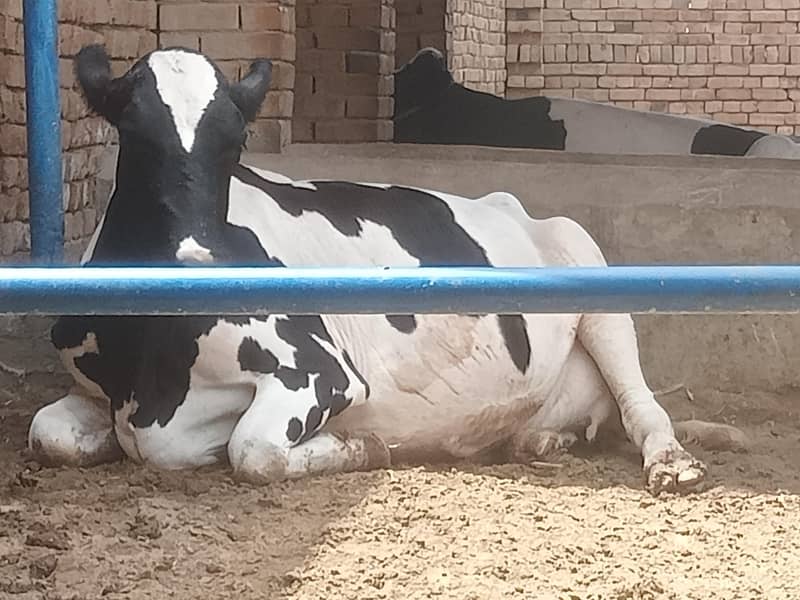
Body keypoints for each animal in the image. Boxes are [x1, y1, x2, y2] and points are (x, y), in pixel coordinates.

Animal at [27, 45, 747, 497]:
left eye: (236, 144)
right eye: (134, 135)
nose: (204, 262)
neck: (153, 369)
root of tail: (509, 202)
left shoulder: (319, 373)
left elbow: (252, 450)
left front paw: (365, 450)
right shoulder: (94, 386)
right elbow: (48, 434)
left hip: (594, 276)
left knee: (643, 405)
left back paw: (672, 463)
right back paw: (540, 441)